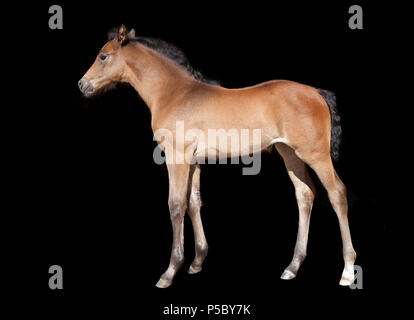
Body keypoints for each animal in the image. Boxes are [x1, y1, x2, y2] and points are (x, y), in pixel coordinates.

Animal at [80, 26, 356, 288]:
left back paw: (347, 270)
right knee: (305, 194)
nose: (82, 85)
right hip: (290, 154)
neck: (175, 94)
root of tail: (316, 92)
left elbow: (176, 205)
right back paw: (292, 267)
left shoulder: (176, 158)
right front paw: (197, 262)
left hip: (315, 154)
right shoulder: (193, 161)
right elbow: (193, 202)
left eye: (103, 56)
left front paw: (169, 272)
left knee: (337, 193)